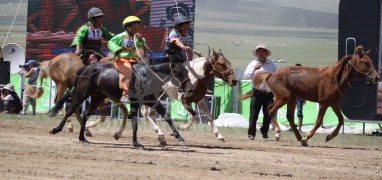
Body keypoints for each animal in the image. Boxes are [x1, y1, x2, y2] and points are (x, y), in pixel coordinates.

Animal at [239, 46, 380, 146]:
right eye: (366, 62)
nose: (376, 77)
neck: (334, 78)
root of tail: (272, 75)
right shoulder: (323, 103)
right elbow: (318, 122)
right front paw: (307, 138)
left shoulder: (333, 103)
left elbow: (340, 120)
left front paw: (329, 136)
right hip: (284, 97)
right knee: (270, 110)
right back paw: (279, 134)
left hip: (292, 99)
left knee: (289, 116)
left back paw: (298, 137)